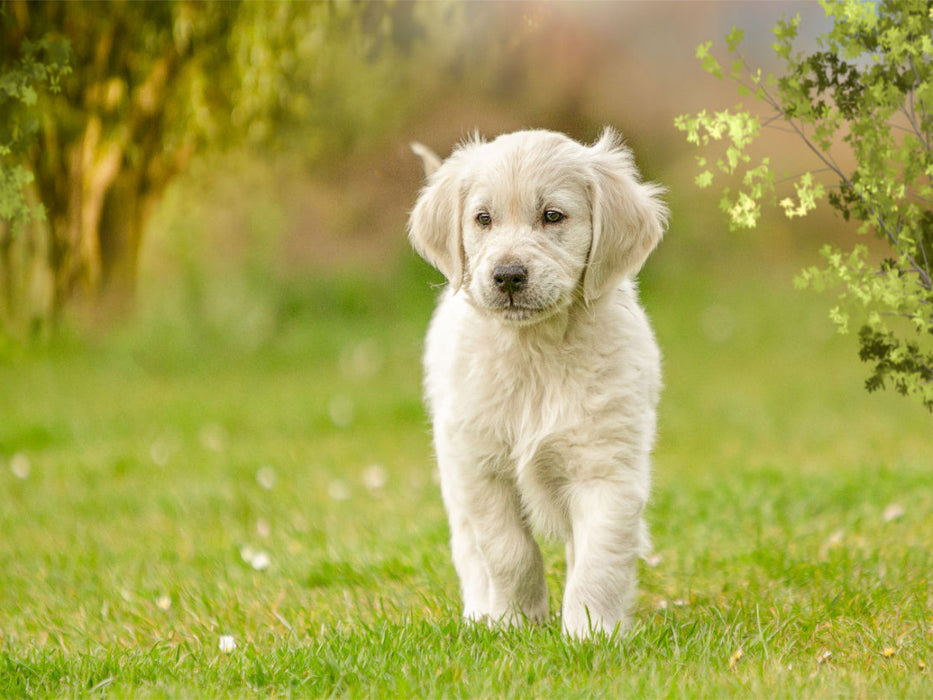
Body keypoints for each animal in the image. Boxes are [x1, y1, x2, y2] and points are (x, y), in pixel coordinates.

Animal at [406, 127, 664, 640]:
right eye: (483, 218)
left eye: (552, 216)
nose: (507, 275)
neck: (535, 350)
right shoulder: (483, 468)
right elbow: (509, 552)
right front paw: (514, 622)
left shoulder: (606, 469)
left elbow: (599, 560)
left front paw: (589, 633)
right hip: (453, 471)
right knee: (469, 552)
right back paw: (479, 613)